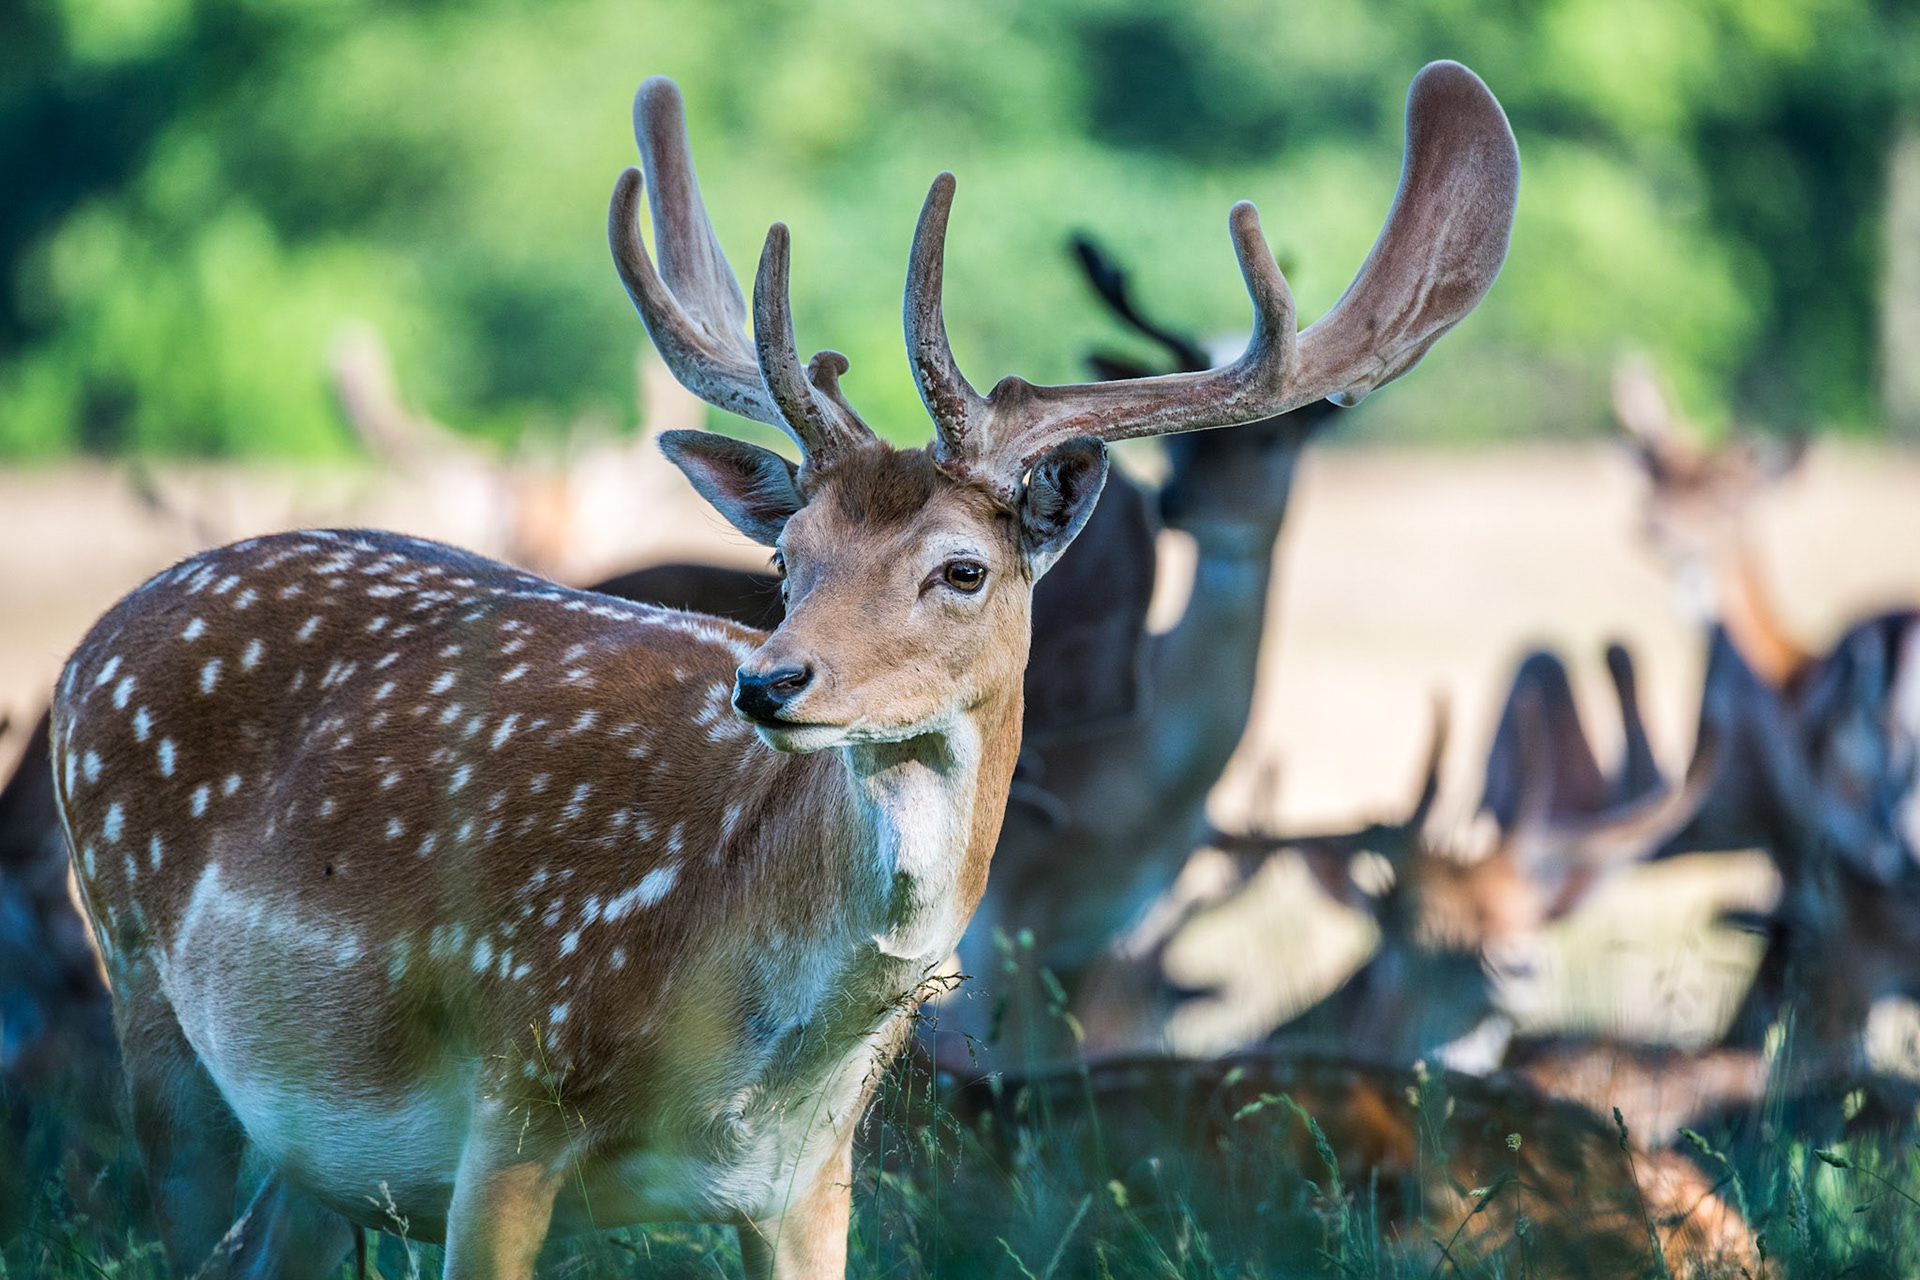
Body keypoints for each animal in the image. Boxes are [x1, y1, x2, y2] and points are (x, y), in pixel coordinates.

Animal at [46, 61, 1520, 1280]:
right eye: (787, 555)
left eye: (960, 569)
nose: (769, 685)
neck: (748, 1045)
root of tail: (93, 638)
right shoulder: (508, 1106)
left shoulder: (812, 1183)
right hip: (150, 1001)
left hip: (309, 1142)